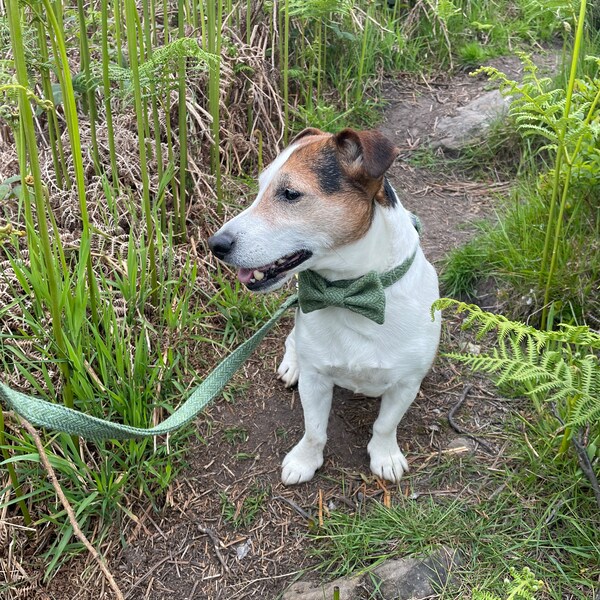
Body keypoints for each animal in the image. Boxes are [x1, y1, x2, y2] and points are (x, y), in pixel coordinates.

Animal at [210, 129, 440, 486]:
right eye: (259, 188)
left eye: (290, 193)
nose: (215, 244)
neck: (349, 294)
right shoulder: (316, 380)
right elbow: (314, 430)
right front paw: (304, 461)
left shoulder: (406, 384)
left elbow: (385, 425)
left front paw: (385, 455)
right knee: (291, 340)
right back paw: (292, 365)